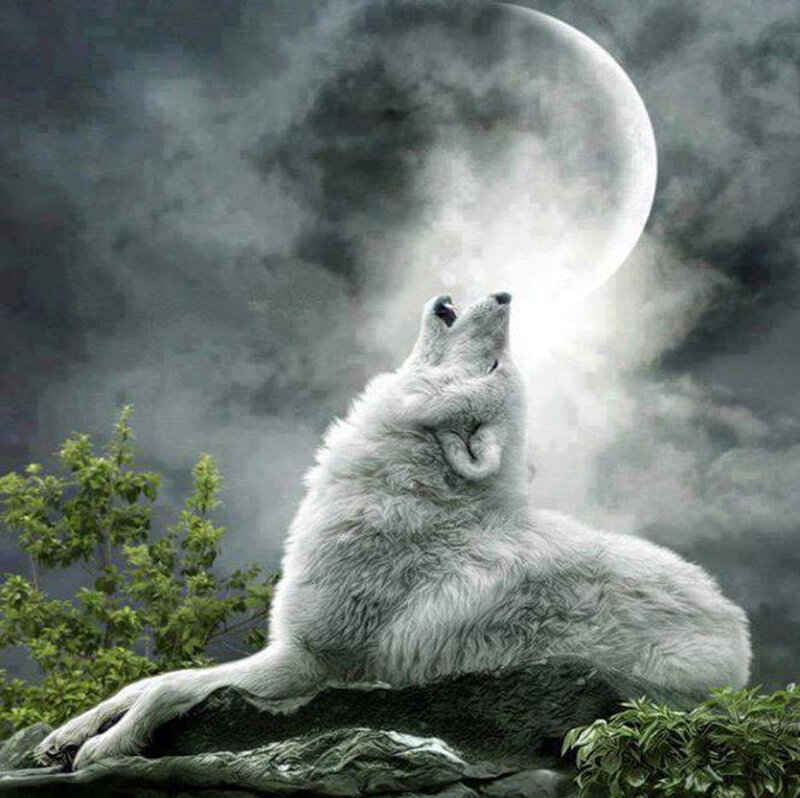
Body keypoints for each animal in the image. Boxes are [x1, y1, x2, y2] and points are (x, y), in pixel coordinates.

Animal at [37, 292, 751, 770]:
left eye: (494, 367)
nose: (504, 294)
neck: (410, 488)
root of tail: (740, 636)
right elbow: (142, 683)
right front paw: (64, 734)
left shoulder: (303, 663)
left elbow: (169, 689)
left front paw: (105, 746)